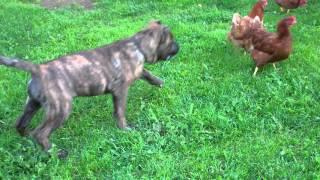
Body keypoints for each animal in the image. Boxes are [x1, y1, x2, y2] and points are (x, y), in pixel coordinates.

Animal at [0, 20, 180, 150]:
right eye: (171, 41)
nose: (179, 47)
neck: (138, 45)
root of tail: (38, 69)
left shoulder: (137, 72)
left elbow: (147, 73)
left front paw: (159, 82)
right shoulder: (120, 91)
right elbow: (120, 112)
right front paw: (125, 129)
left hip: (33, 103)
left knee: (21, 123)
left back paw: (26, 138)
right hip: (60, 109)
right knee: (40, 133)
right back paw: (56, 153)